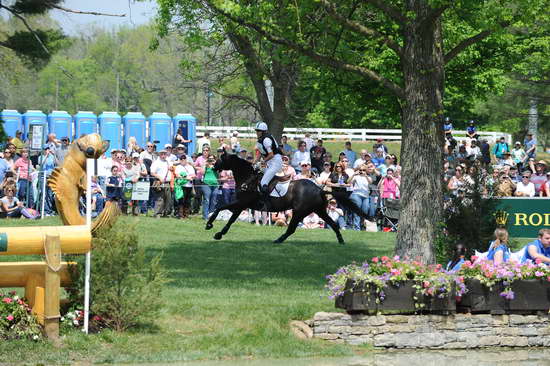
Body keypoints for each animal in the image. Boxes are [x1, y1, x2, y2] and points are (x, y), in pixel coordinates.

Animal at [208, 150, 370, 244]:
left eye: (220, 159)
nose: (213, 167)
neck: (247, 179)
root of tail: (319, 189)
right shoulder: (242, 204)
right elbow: (226, 213)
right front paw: (216, 231)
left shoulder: (242, 203)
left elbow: (224, 211)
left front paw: (212, 228)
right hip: (319, 211)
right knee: (334, 224)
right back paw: (341, 241)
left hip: (299, 211)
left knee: (291, 228)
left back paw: (278, 240)